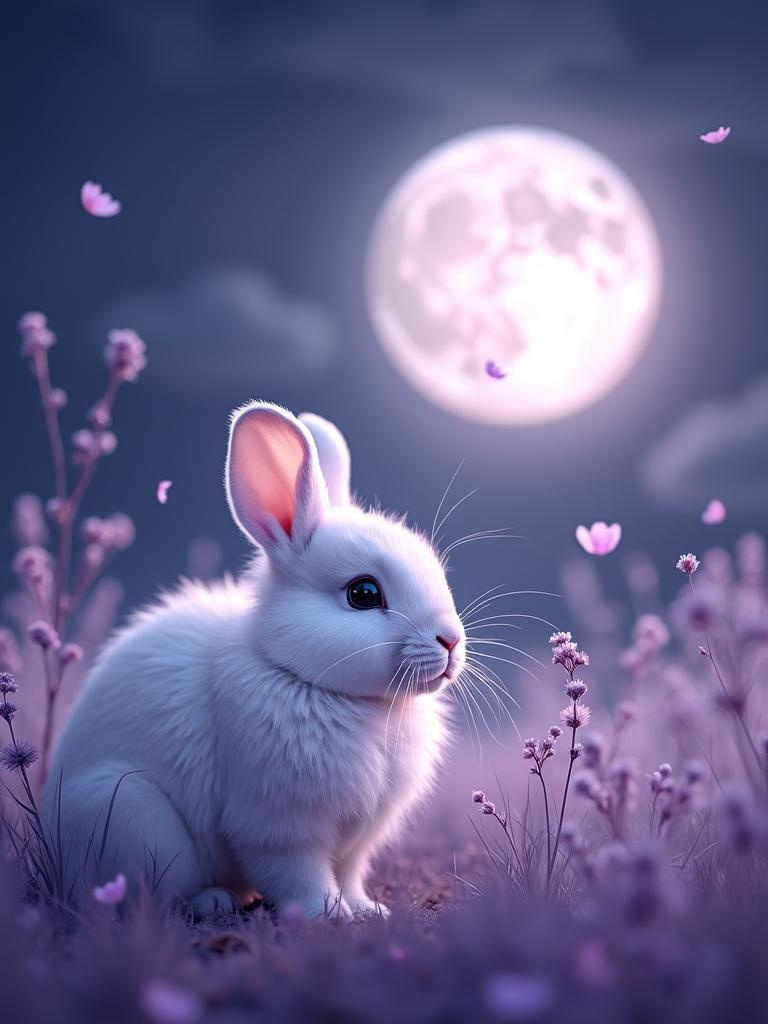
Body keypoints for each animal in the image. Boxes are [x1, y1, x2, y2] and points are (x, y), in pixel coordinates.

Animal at [44, 401, 465, 918]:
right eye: (363, 593)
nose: (451, 641)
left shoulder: (356, 842)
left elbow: (349, 873)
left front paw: (367, 909)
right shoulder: (275, 828)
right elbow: (299, 875)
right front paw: (328, 914)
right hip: (133, 816)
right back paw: (213, 901)